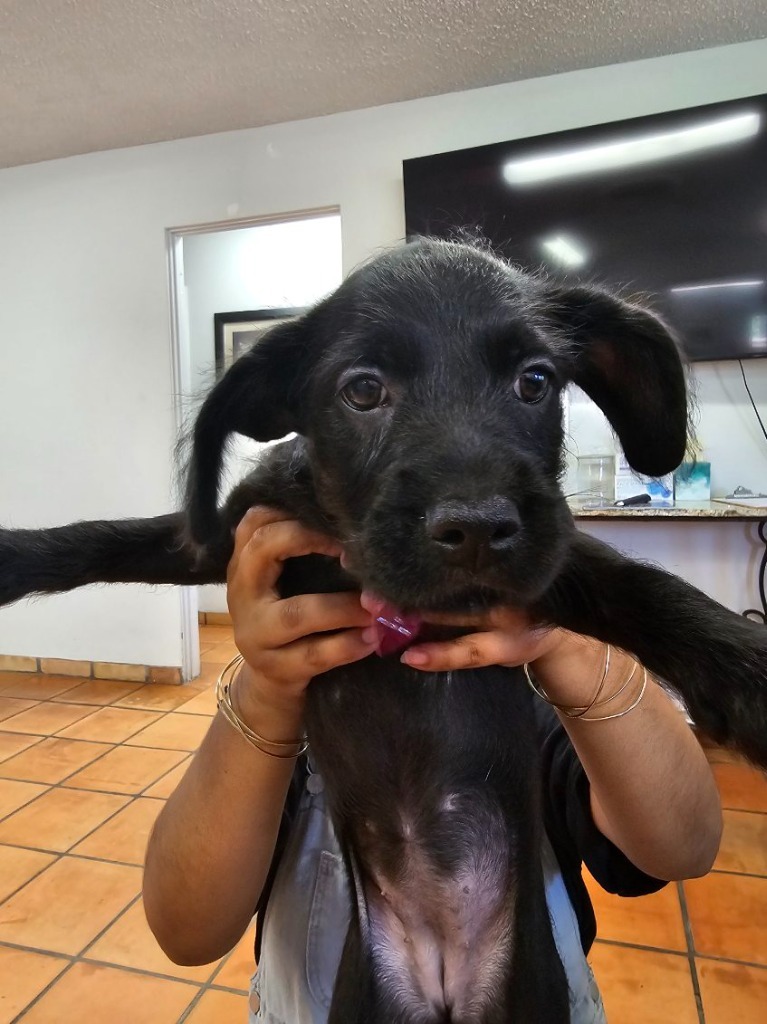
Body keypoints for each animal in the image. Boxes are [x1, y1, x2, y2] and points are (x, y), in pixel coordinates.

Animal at [1, 235, 765, 1019]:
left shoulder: (547, 565)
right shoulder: (225, 534)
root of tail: (444, 971)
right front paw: (11, 558)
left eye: (535, 381)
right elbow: (103, 539)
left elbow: (633, 583)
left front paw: (746, 672)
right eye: (363, 391)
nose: (477, 527)